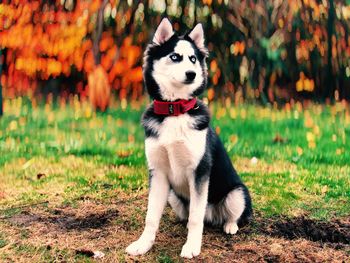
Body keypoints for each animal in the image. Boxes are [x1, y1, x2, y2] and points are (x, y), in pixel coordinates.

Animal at [126, 18, 252, 260]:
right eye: (175, 57)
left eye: (193, 59)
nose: (192, 73)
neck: (175, 110)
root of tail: (212, 216)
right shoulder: (158, 172)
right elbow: (151, 216)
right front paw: (143, 244)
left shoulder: (199, 171)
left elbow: (196, 218)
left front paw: (192, 247)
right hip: (173, 196)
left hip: (236, 193)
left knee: (228, 215)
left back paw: (230, 225)